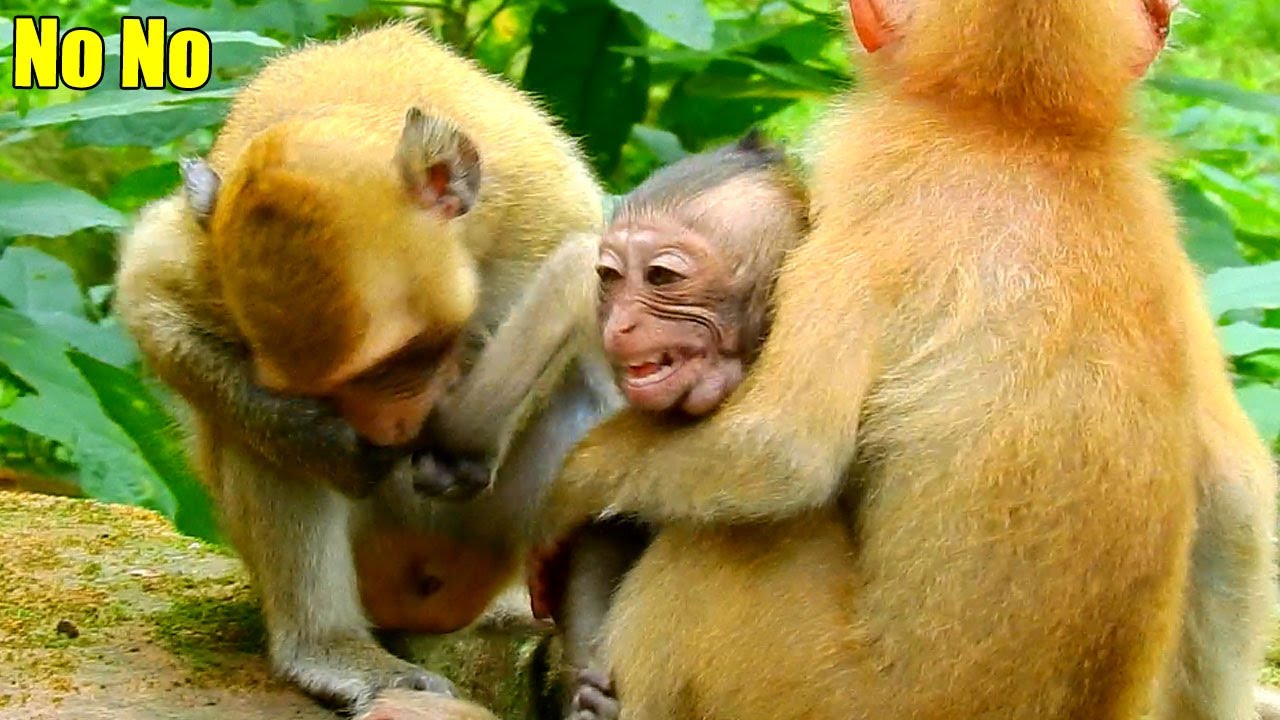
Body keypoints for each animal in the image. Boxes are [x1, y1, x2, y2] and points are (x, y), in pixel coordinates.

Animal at [113, 21, 609, 715]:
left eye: (409, 357)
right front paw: (324, 442)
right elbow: (148, 290)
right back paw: (329, 648)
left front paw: (472, 437)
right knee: (253, 439)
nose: (388, 431)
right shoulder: (206, 251)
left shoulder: (546, 204)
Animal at [525, 0, 1277, 718]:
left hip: (807, 684)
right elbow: (1239, 495)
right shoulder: (1161, 226)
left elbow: (780, 451)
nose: (625, 324)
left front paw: (564, 497)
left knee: (714, 547)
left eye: (662, 278)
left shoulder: (874, 174)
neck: (1024, 130)